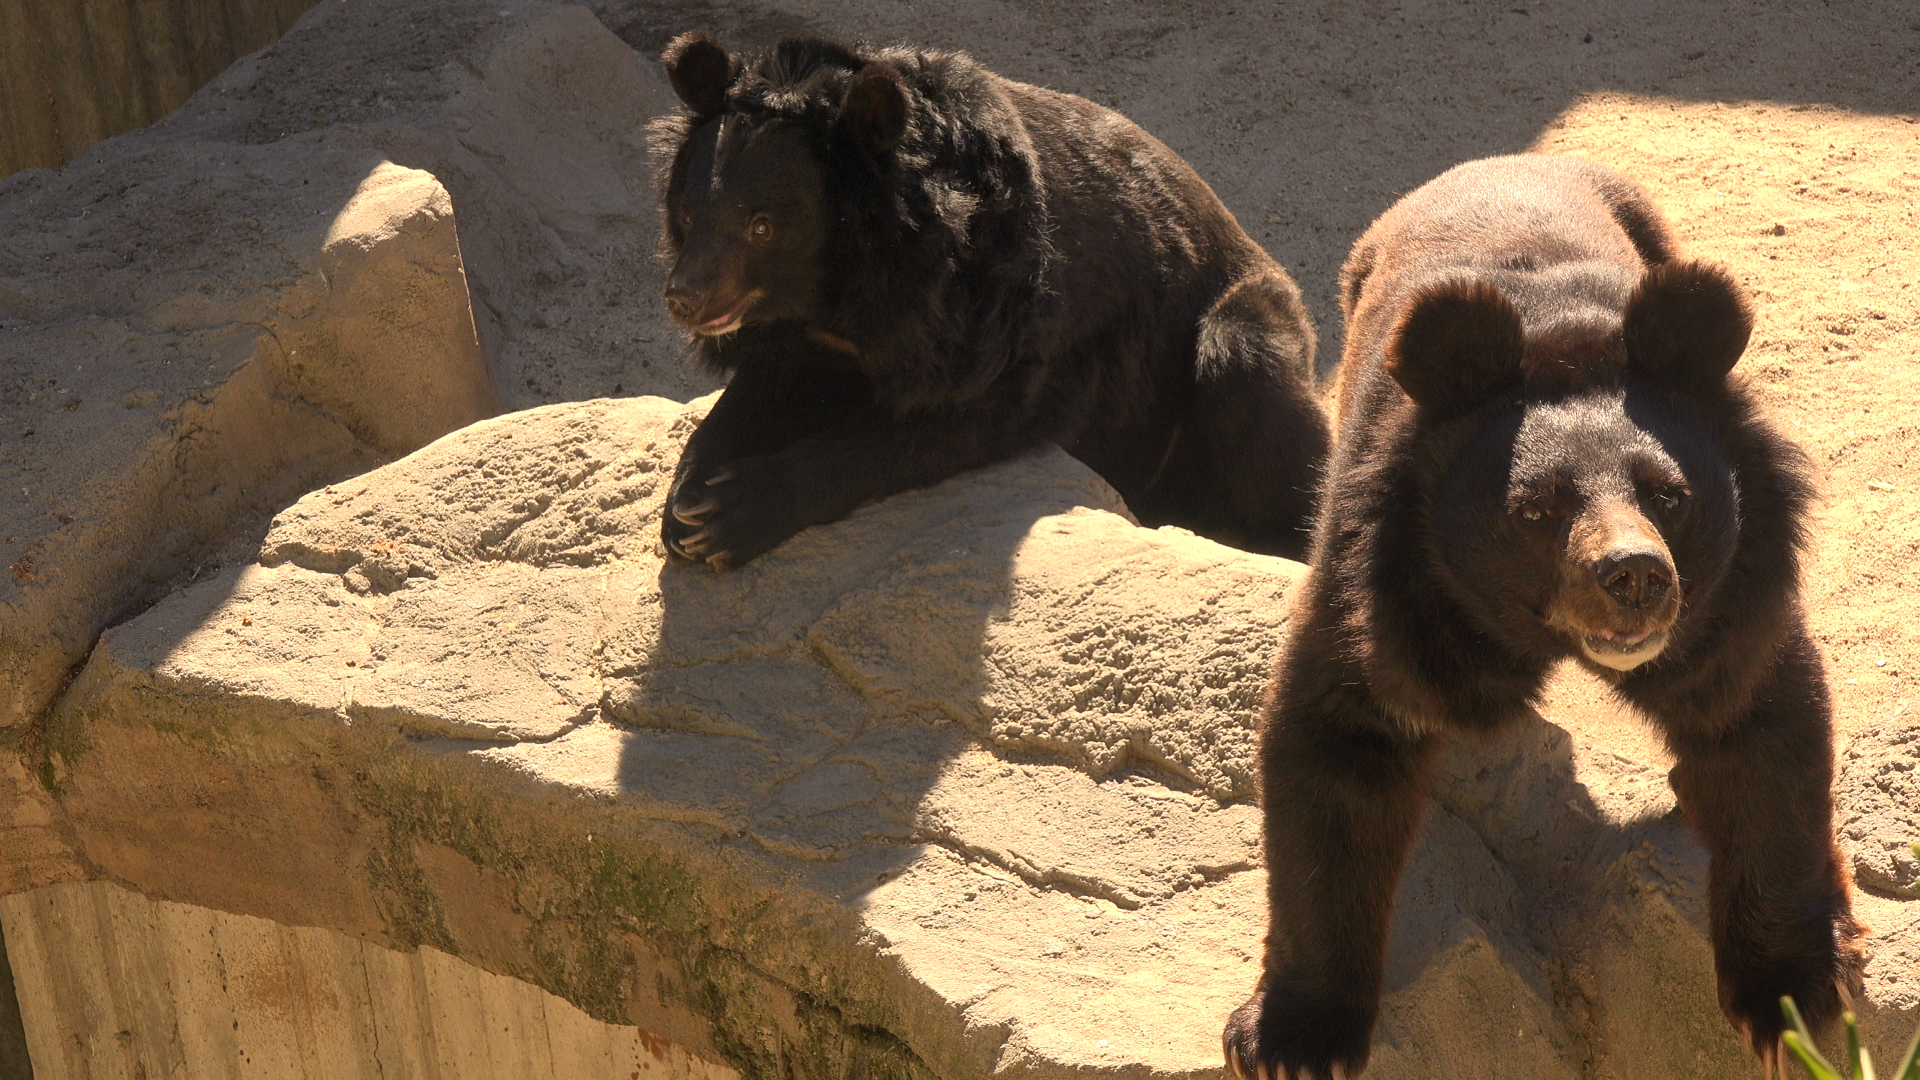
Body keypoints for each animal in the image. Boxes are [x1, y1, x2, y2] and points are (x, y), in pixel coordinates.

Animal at [649, 33, 1331, 568]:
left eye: (761, 225)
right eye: (689, 212)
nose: (683, 298)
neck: (842, 290)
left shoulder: (990, 305)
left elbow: (943, 419)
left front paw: (730, 515)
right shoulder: (795, 332)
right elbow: (753, 391)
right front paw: (687, 504)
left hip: (1234, 325)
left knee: (1254, 387)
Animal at [1221, 154, 1864, 1079]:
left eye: (1669, 496)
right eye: (1536, 510)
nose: (1635, 576)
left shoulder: (1732, 590)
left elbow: (1755, 732)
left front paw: (1793, 1001)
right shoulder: (1385, 585)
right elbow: (1336, 755)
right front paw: (1293, 1042)